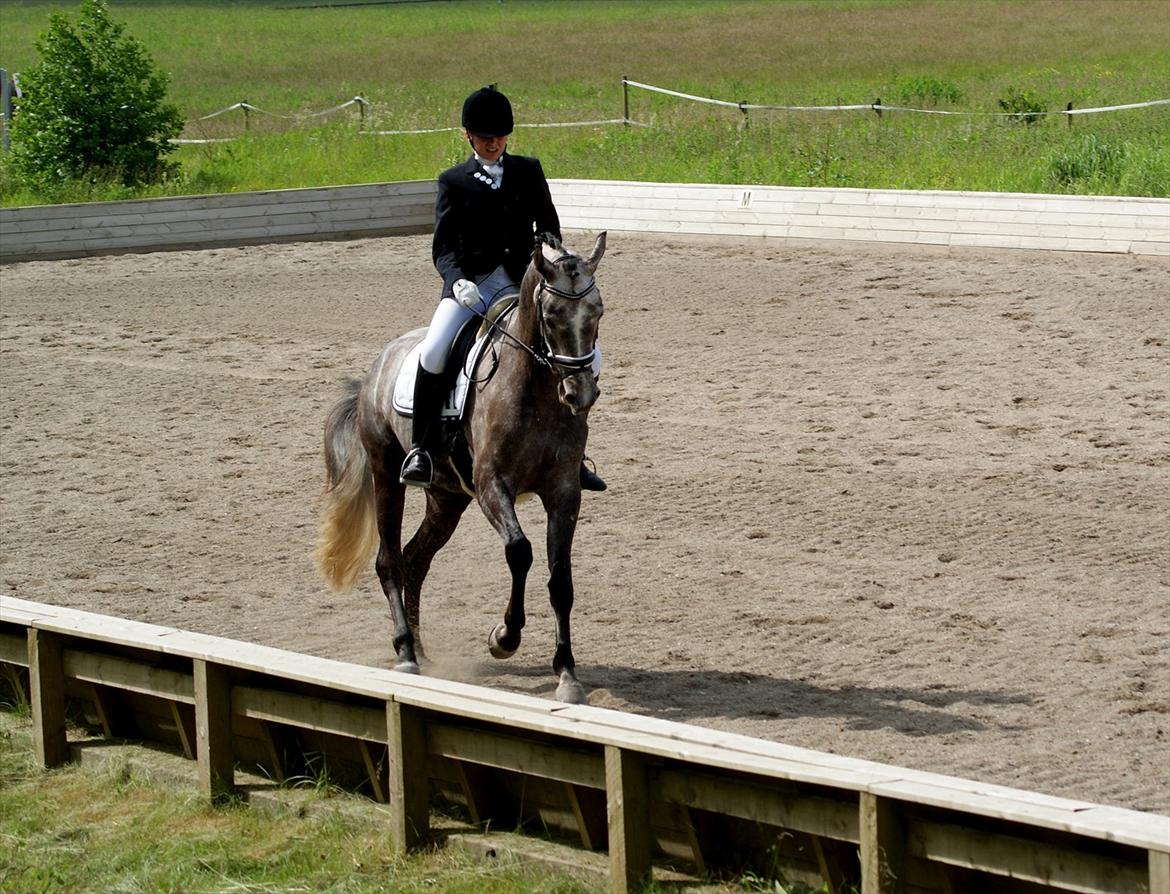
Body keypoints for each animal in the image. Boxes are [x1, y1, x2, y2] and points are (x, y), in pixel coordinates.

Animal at [315, 231, 608, 706]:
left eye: (598, 311)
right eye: (550, 316)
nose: (579, 394)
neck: (536, 391)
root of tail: (377, 367)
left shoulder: (565, 489)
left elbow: (560, 578)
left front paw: (567, 674)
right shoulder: (492, 484)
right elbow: (520, 552)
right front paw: (504, 637)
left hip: (447, 498)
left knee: (415, 559)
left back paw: (419, 647)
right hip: (386, 473)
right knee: (389, 560)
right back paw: (405, 653)